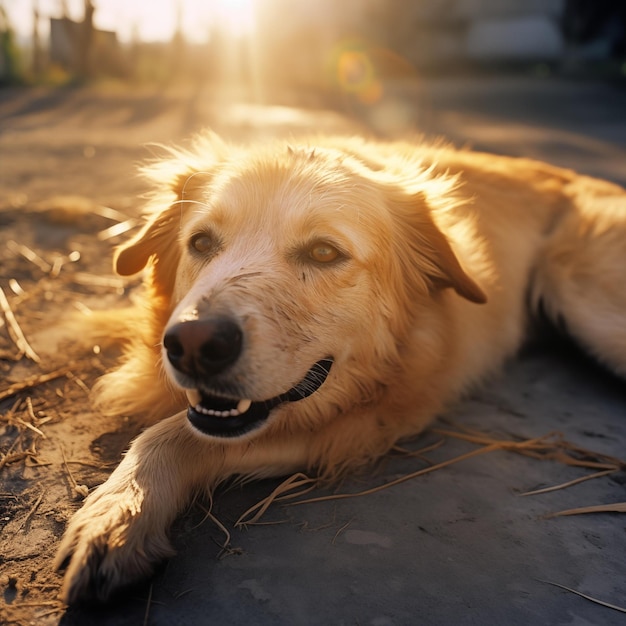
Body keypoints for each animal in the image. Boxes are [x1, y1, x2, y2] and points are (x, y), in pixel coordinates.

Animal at [54, 130, 624, 600]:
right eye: (201, 243)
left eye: (325, 252)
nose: (192, 344)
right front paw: (121, 510)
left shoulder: (363, 422)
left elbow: (171, 433)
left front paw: (118, 515)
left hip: (586, 299)